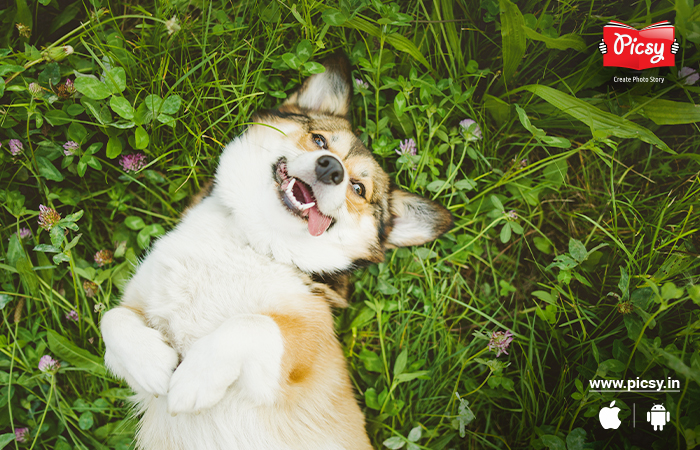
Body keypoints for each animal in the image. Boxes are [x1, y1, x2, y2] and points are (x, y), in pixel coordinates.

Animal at [101, 54, 454, 448]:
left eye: (358, 189)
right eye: (319, 139)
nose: (331, 168)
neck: (252, 242)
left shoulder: (301, 355)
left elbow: (252, 324)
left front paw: (195, 380)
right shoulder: (135, 304)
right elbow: (111, 319)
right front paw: (151, 364)